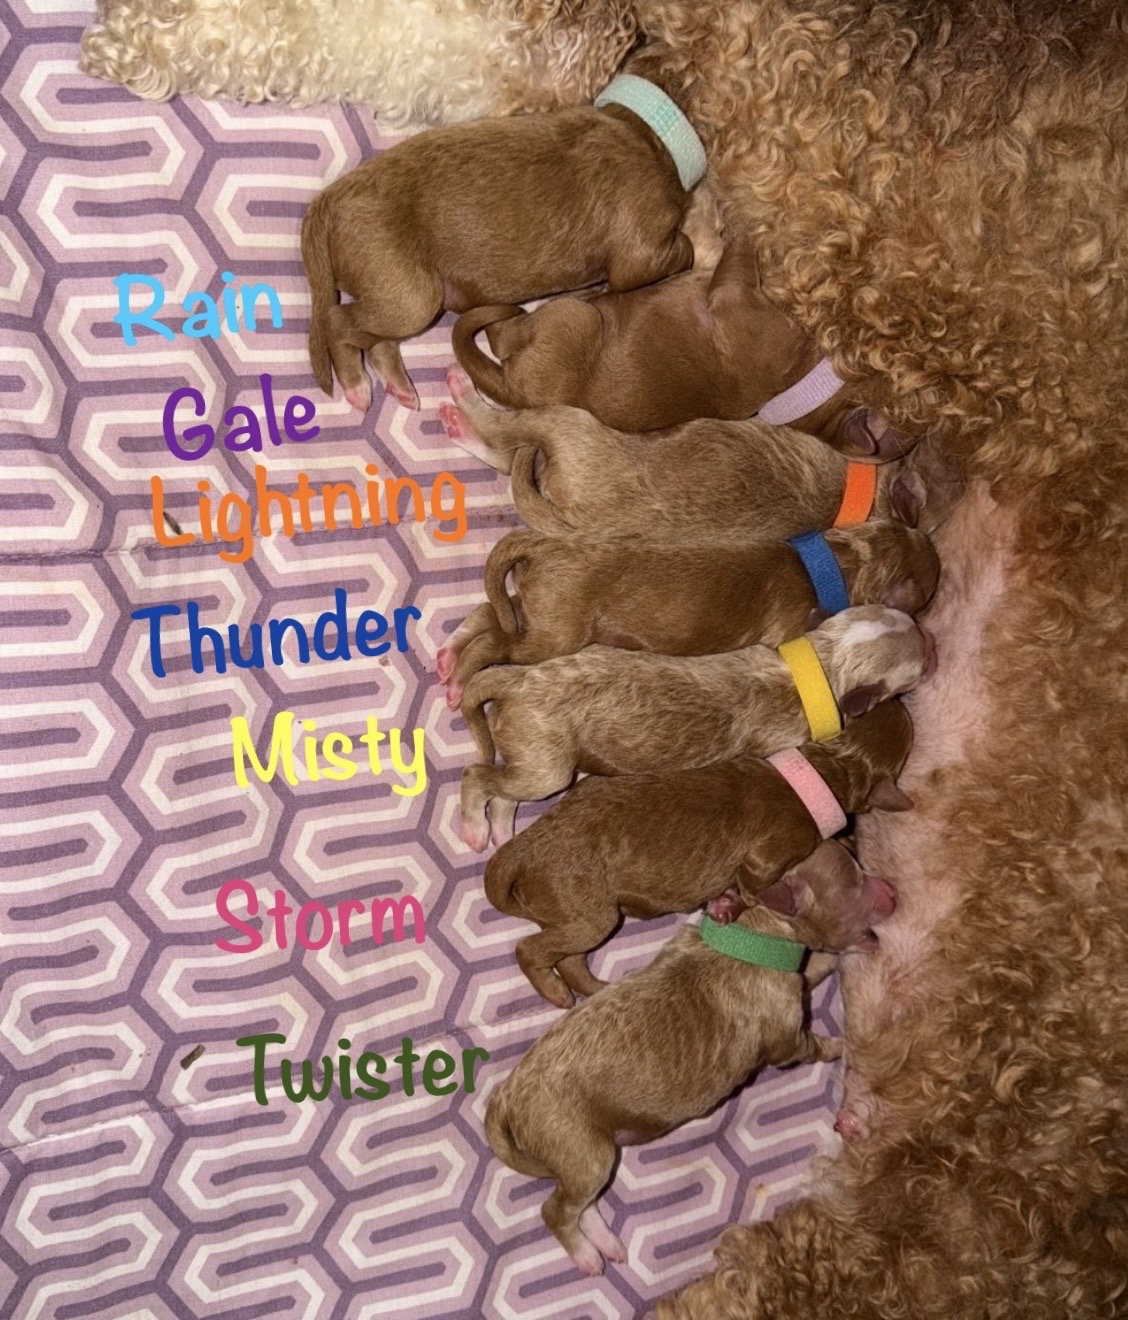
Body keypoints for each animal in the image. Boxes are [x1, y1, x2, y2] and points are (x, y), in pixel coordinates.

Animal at [301, 105, 698, 411]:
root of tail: (331, 197)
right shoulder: (640, 255)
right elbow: (682, 250)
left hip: (396, 297)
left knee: (376, 339)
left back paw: (399, 385)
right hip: (410, 299)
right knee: (338, 320)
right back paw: (356, 385)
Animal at [438, 520, 940, 701]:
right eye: (929, 589)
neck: (837, 560)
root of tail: (545, 543)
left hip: (533, 607)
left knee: (489, 612)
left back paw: (447, 656)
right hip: (554, 634)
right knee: (493, 642)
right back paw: (458, 681)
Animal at [459, 604, 930, 850]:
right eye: (918, 670)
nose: (933, 640)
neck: (820, 664)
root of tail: (517, 680)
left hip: (535, 757)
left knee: (505, 794)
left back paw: (500, 829)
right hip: (547, 765)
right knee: (477, 777)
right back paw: (475, 829)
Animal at [484, 698, 913, 1006]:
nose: (900, 699)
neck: (828, 770)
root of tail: (523, 847)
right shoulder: (766, 859)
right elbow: (756, 889)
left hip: (583, 919)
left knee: (571, 960)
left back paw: (597, 989)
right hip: (589, 916)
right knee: (530, 950)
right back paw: (556, 993)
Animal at [485, 839, 895, 1276]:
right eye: (854, 881)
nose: (892, 890)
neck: (752, 932)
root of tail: (505, 1098)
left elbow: (813, 968)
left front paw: (832, 963)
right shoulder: (788, 1041)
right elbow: (811, 1041)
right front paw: (839, 1044)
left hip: (585, 1155)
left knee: (582, 1203)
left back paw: (605, 1242)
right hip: (584, 1152)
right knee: (556, 1211)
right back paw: (586, 1255)